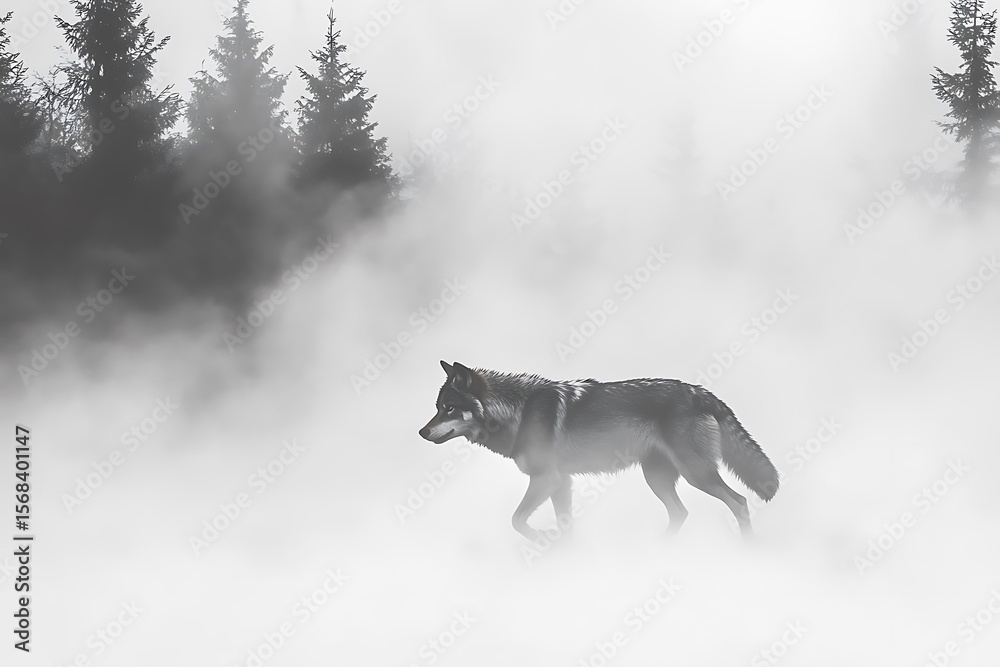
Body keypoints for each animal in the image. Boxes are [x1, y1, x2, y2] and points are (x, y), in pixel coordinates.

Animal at [419, 361, 779, 541]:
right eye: (437, 407)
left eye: (449, 408)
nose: (421, 432)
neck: (518, 410)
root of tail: (700, 391)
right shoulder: (560, 483)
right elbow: (564, 527)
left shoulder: (547, 479)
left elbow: (517, 521)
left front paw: (543, 539)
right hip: (658, 478)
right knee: (681, 513)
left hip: (696, 474)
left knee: (739, 502)